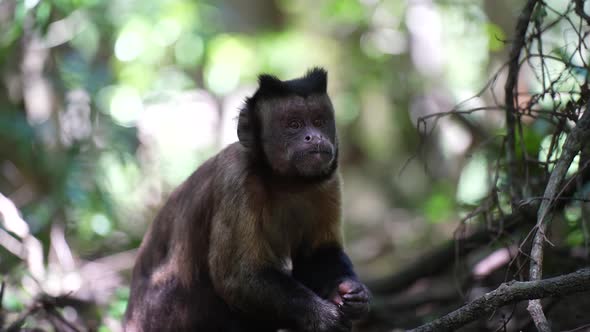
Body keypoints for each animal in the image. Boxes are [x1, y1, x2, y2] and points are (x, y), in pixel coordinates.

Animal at [125, 68, 372, 332]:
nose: (314, 137)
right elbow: (238, 277)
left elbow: (317, 255)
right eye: (294, 124)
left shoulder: (328, 181)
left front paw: (350, 292)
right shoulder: (236, 177)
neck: (285, 183)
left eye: (318, 121)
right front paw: (323, 317)